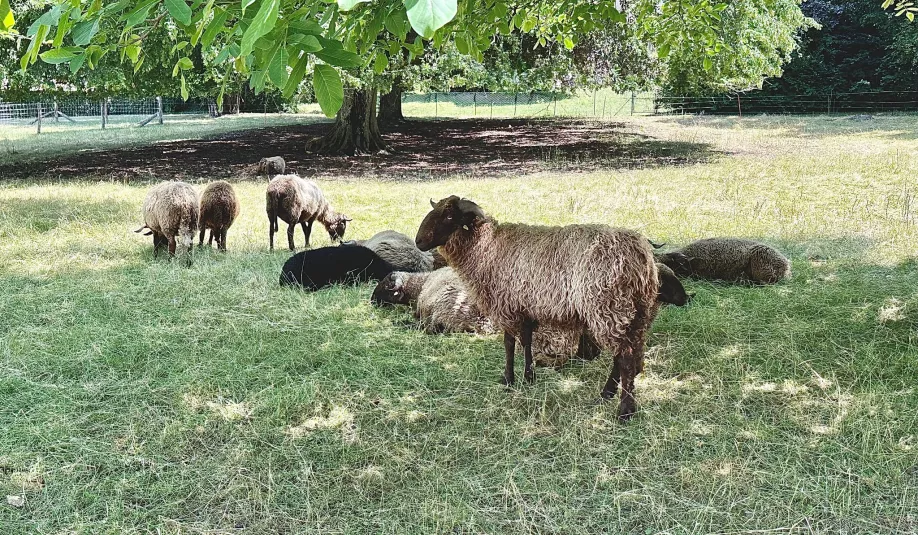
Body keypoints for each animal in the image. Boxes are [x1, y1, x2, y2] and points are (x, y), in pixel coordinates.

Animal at [415, 196, 660, 420]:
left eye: (449, 216)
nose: (418, 241)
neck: (487, 247)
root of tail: (639, 254)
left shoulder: (507, 305)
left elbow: (509, 344)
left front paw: (509, 379)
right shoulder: (525, 307)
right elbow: (526, 342)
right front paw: (528, 376)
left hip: (608, 308)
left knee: (625, 358)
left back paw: (624, 410)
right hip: (638, 312)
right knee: (629, 355)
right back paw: (607, 394)